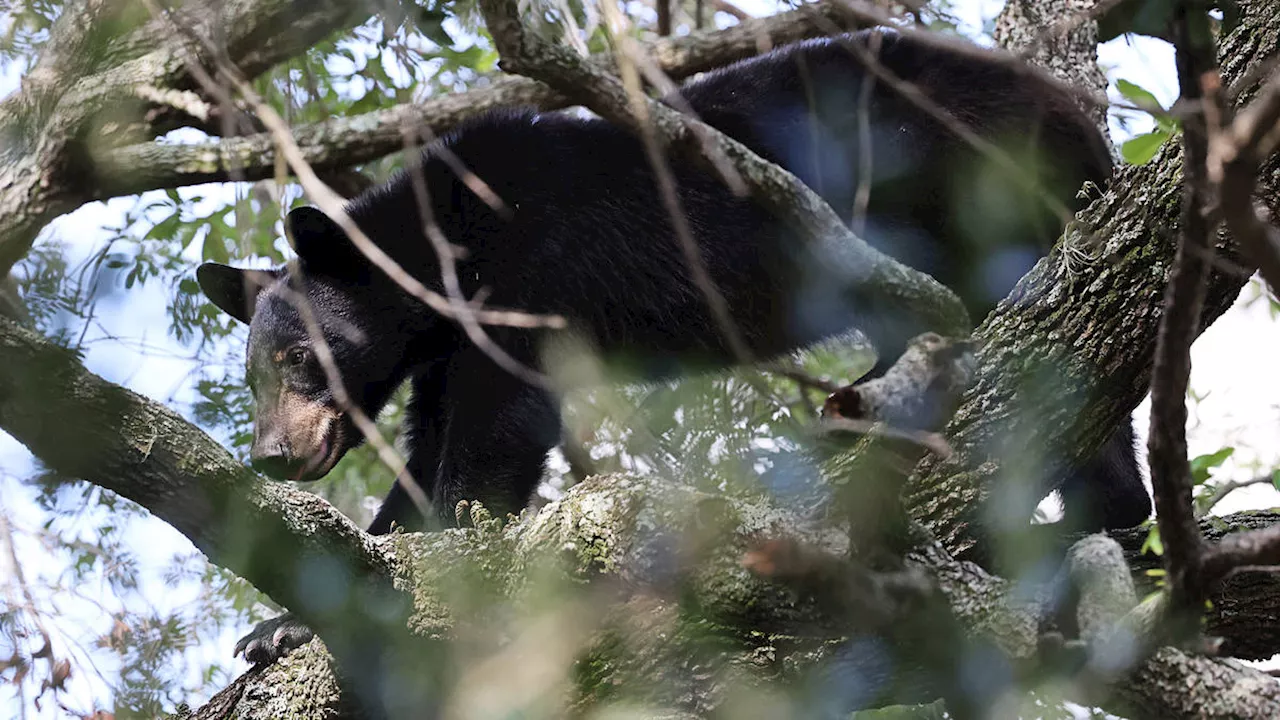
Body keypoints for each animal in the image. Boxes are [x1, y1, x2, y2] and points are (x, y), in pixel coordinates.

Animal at [197, 28, 1152, 661]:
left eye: (299, 360)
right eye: (250, 379)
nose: (272, 454)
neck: (450, 250)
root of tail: (1079, 120)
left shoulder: (531, 282)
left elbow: (499, 431)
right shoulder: (442, 345)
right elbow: (427, 445)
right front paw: (281, 623)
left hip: (974, 181)